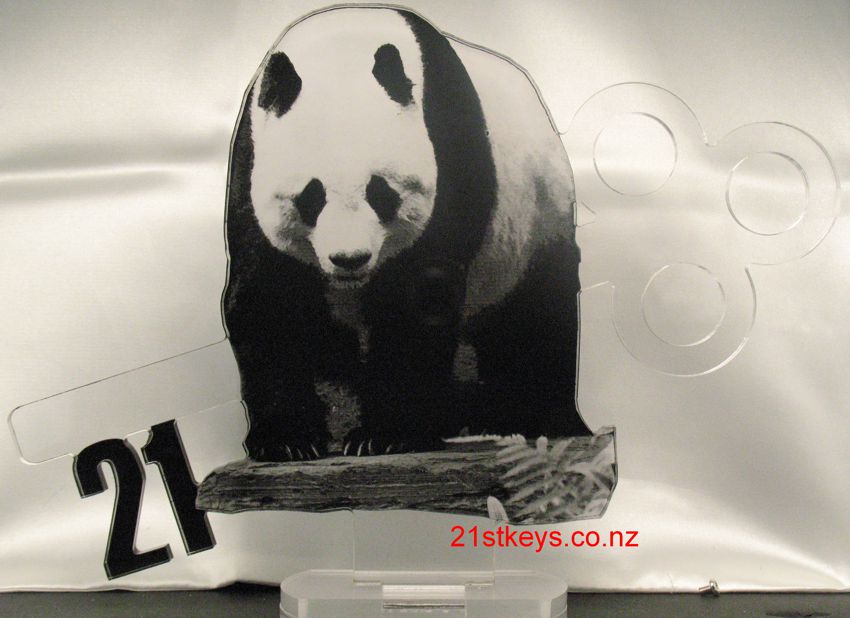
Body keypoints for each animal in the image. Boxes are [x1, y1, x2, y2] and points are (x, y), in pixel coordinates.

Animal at [223, 6, 591, 461]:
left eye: (380, 192)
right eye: (312, 196)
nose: (350, 259)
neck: (340, 52)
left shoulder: (448, 145)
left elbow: (419, 295)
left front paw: (384, 434)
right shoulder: (249, 158)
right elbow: (269, 297)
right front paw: (288, 440)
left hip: (536, 222)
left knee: (536, 320)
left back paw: (535, 417)